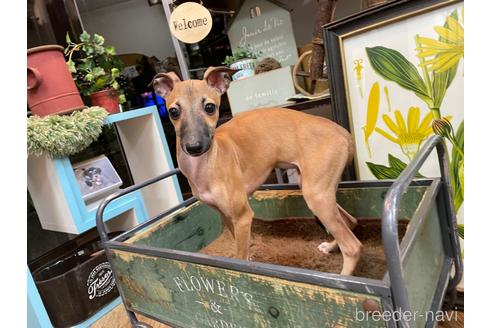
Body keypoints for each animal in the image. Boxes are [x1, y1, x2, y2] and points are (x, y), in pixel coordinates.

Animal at [153, 66, 362, 274]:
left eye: (210, 107)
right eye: (173, 111)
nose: (194, 147)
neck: (208, 162)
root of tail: (343, 133)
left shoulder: (243, 217)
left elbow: (241, 262)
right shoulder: (227, 216)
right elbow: (241, 251)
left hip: (316, 195)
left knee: (352, 246)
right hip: (314, 188)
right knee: (350, 221)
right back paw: (331, 245)